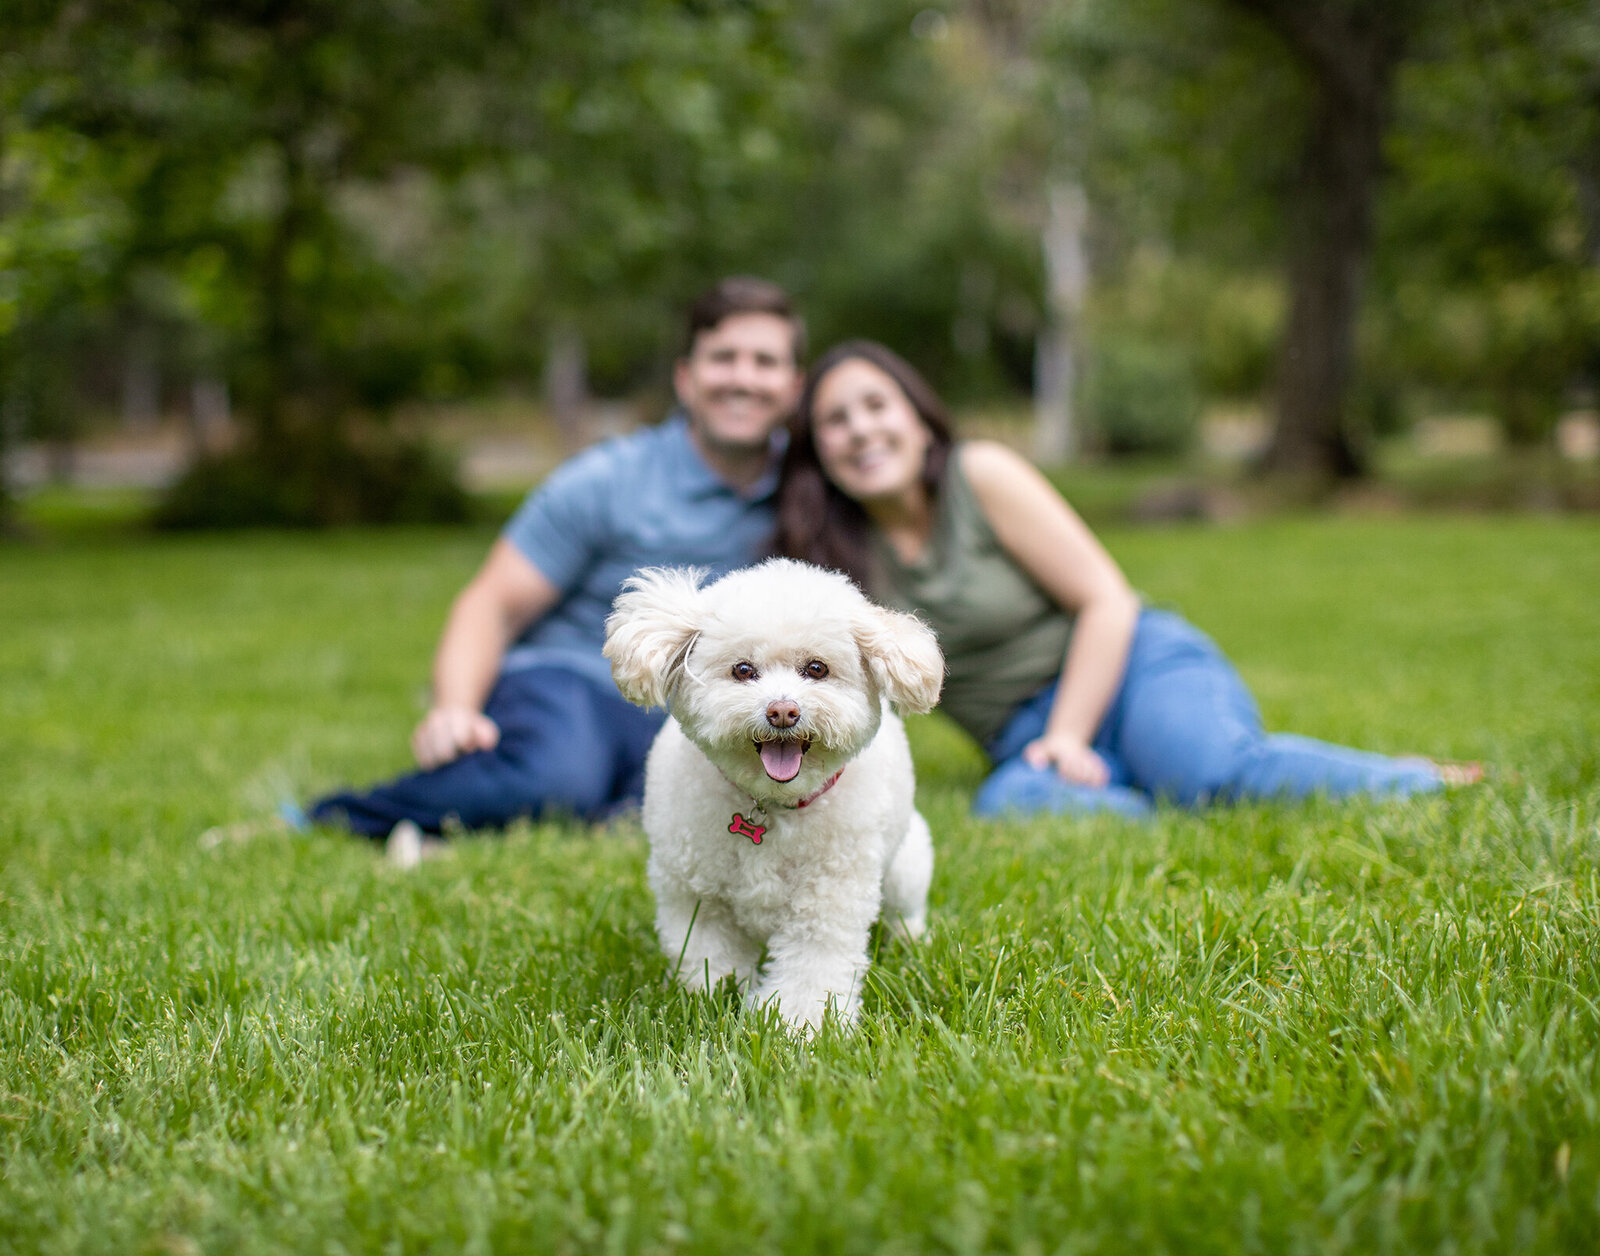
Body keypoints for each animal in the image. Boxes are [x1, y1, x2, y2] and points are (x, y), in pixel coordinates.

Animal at [604, 560, 940, 1030]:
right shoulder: (696, 895)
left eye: (816, 668)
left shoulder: (827, 899)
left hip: (906, 868)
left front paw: (800, 1025)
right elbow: (708, 958)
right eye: (743, 670)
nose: (783, 711)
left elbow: (813, 967)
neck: (770, 805)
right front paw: (709, 1000)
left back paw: (914, 942)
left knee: (904, 913)